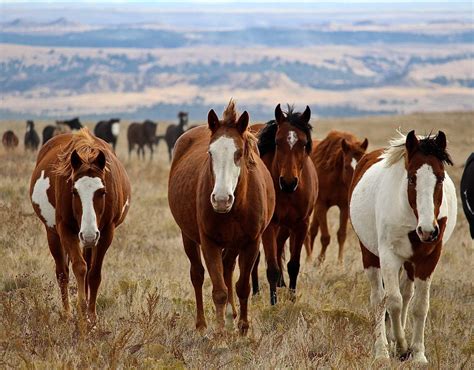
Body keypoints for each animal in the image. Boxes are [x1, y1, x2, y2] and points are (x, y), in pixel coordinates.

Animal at [29, 129, 131, 322]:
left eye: (102, 191)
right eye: (74, 191)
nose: (89, 234)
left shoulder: (106, 233)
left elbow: (94, 273)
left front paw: (92, 317)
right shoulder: (66, 230)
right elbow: (79, 268)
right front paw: (82, 314)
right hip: (54, 233)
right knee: (62, 273)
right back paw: (67, 314)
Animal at [169, 101, 274, 336]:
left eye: (239, 153)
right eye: (210, 153)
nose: (221, 199)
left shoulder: (251, 242)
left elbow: (242, 286)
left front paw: (243, 326)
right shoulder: (209, 242)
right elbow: (219, 290)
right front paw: (219, 333)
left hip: (234, 244)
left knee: (228, 268)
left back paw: (231, 314)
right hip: (187, 236)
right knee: (197, 275)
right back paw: (202, 324)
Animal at [252, 103, 318, 304]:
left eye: (303, 143)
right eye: (277, 142)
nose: (288, 182)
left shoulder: (301, 224)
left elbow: (293, 264)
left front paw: (292, 298)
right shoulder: (269, 226)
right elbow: (271, 268)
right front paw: (273, 303)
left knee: (279, 247)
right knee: (257, 258)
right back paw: (255, 292)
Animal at [306, 129, 368, 264]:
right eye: (346, 166)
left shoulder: (344, 207)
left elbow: (341, 235)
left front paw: (340, 263)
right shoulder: (321, 205)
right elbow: (325, 237)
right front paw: (320, 261)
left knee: (312, 230)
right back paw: (309, 259)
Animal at [350, 131, 458, 364]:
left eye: (441, 177)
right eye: (411, 178)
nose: (428, 231)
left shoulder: (428, 259)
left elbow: (420, 305)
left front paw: (417, 354)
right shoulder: (389, 256)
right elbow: (393, 302)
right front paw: (400, 347)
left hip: (409, 263)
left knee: (407, 294)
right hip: (370, 255)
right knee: (378, 298)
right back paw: (382, 350)